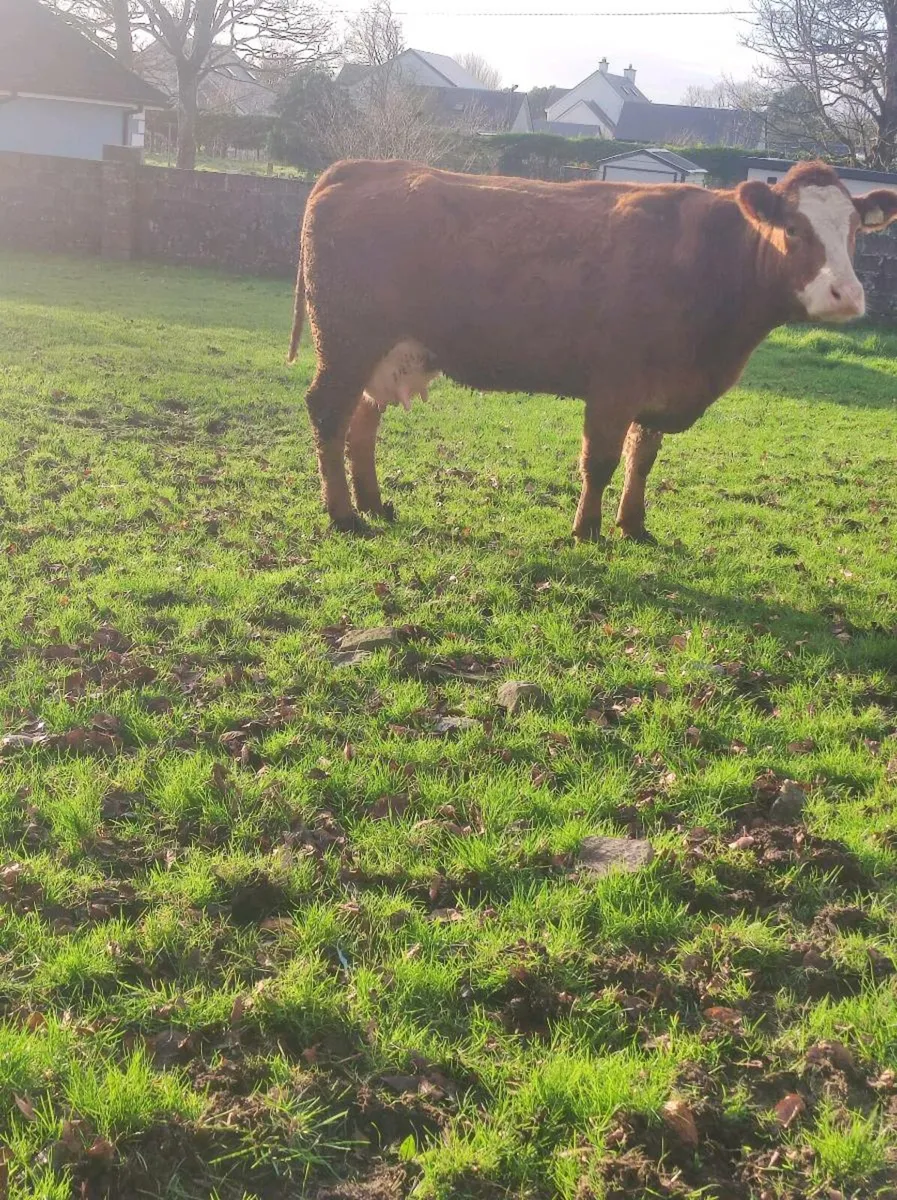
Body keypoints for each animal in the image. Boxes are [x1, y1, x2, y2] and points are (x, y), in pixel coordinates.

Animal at [288, 159, 897, 541]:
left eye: (854, 233)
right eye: (793, 229)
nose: (847, 295)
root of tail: (360, 166)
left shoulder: (659, 387)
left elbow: (642, 458)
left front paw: (634, 526)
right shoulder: (614, 385)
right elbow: (600, 461)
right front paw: (586, 531)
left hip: (383, 353)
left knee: (362, 422)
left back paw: (373, 502)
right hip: (345, 343)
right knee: (329, 414)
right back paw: (344, 515)